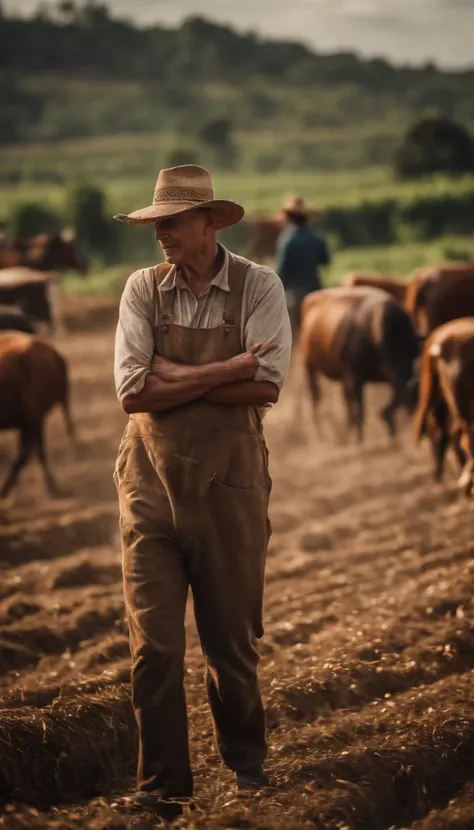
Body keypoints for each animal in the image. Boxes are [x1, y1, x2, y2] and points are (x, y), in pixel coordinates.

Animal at [300, 288, 418, 442]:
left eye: (414, 351)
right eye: (389, 351)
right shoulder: (355, 377)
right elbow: (361, 413)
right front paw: (359, 440)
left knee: (346, 402)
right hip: (309, 366)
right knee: (316, 397)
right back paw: (319, 433)